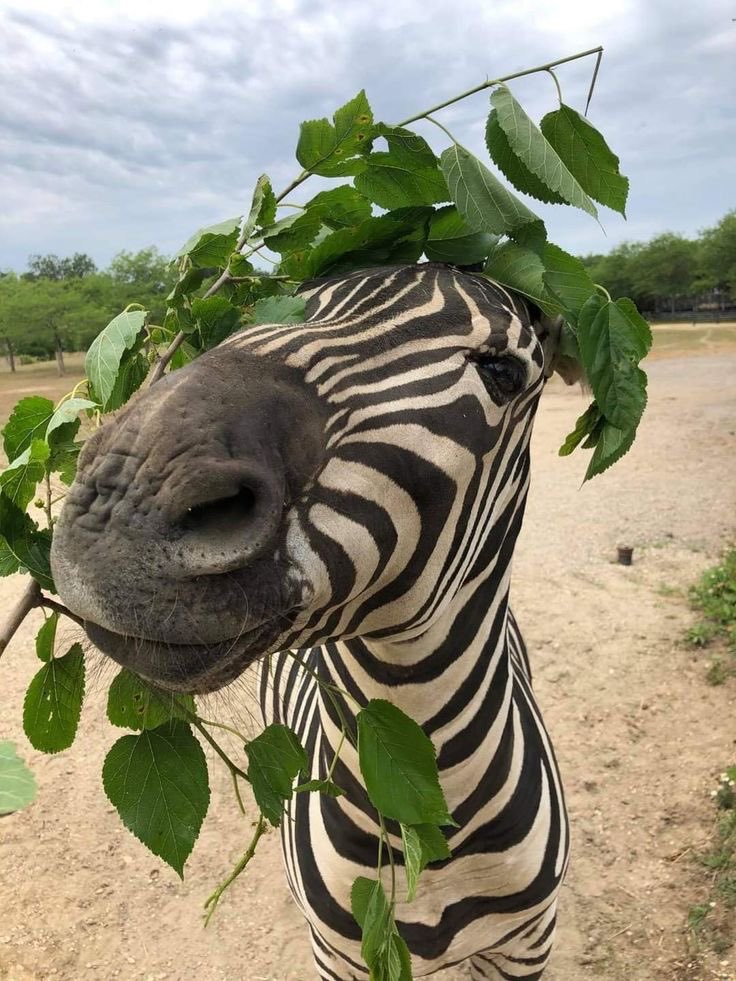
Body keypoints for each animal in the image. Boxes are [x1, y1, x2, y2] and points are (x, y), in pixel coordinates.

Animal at [51, 262, 575, 980]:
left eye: (502, 373)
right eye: (275, 310)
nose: (117, 500)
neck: (426, 810)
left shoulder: (526, 945)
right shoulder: (342, 954)